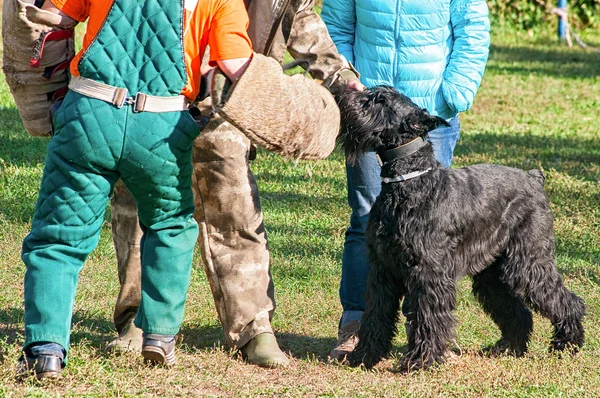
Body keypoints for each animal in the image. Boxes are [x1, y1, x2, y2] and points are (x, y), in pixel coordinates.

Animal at [338, 85, 584, 372]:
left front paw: (420, 360)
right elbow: (376, 314)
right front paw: (365, 356)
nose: (344, 95)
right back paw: (507, 348)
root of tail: (535, 179)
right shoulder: (382, 270)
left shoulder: (428, 273)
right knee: (518, 310)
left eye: (380, 100)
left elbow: (427, 316)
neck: (407, 182)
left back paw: (567, 344)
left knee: (566, 300)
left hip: (529, 263)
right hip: (493, 275)